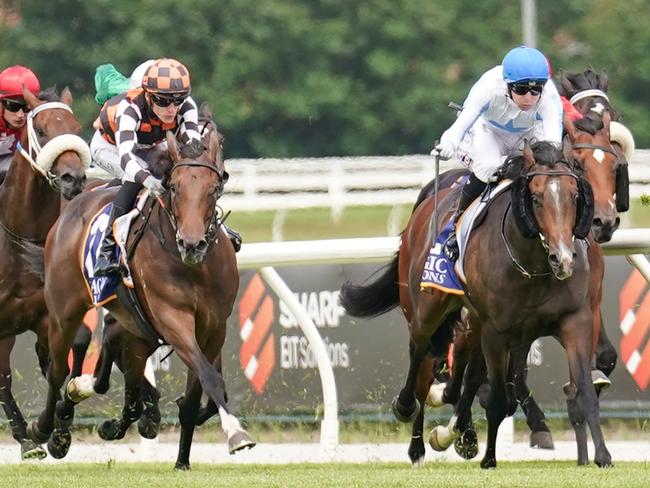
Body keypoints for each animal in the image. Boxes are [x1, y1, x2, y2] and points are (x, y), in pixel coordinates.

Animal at [28, 129, 256, 468]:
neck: (194, 268)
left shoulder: (214, 326)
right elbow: (209, 377)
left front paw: (182, 461)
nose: (191, 244)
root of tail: (74, 203)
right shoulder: (173, 319)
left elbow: (199, 390)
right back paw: (48, 429)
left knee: (115, 356)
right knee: (57, 370)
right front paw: (236, 434)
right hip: (63, 311)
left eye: (214, 188)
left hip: (134, 327)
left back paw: (88, 400)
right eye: (173, 187)